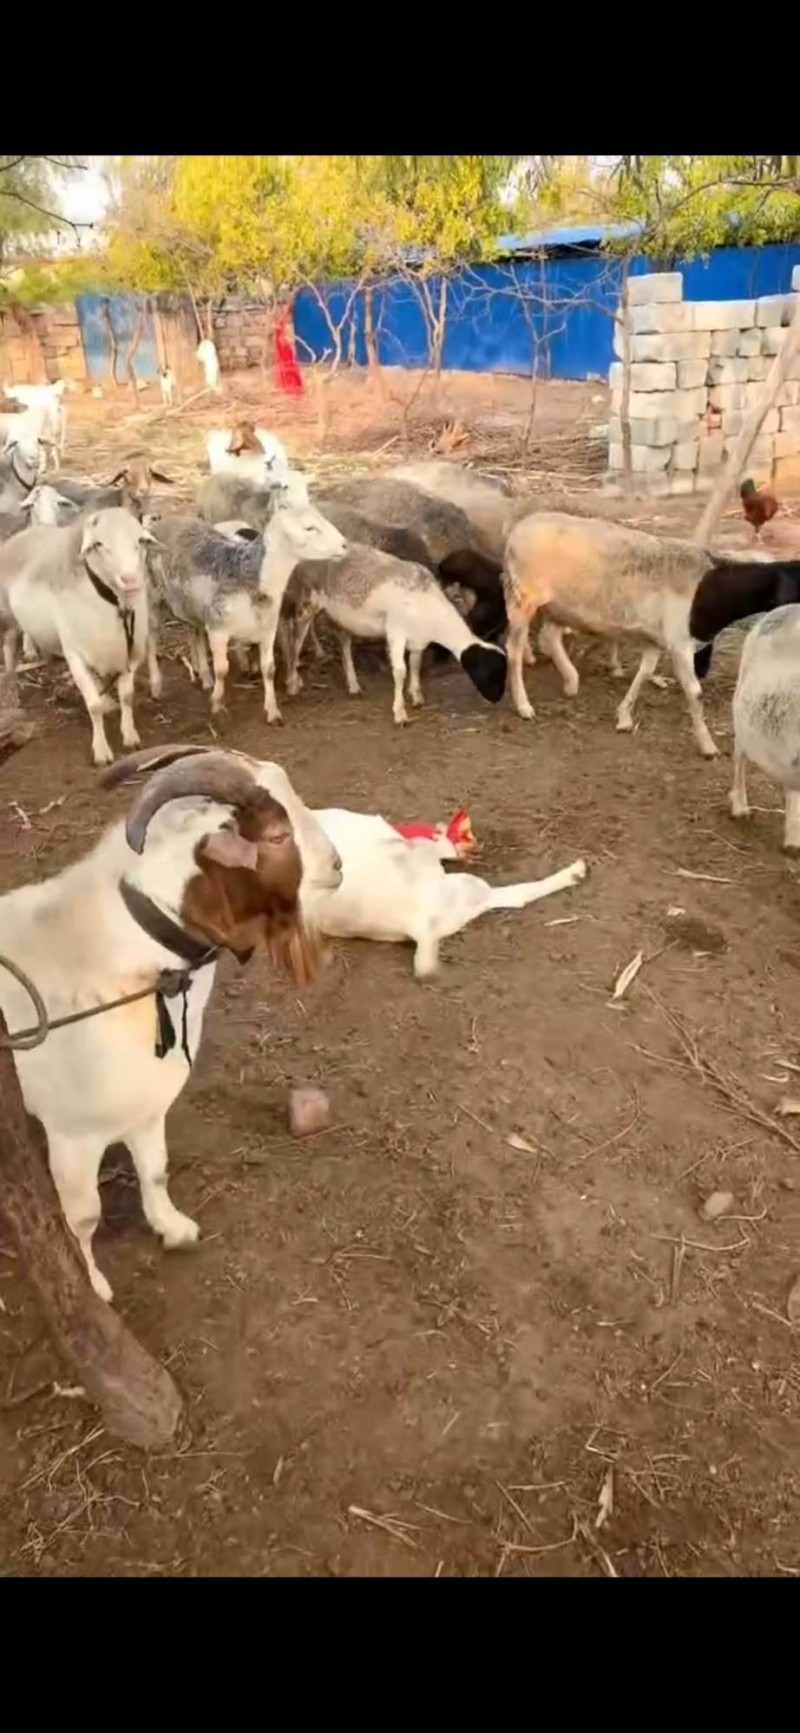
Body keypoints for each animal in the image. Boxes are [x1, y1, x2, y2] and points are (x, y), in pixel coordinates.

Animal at [0, 507, 157, 764]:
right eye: (99, 544)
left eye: (140, 541)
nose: (131, 580)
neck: (116, 604)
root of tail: (23, 534)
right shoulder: (76, 656)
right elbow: (93, 706)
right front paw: (101, 751)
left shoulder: (128, 654)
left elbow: (127, 696)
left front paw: (130, 735)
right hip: (9, 617)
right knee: (9, 649)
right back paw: (12, 691)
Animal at [0, 741, 341, 1300]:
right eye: (276, 835)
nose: (337, 865)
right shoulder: (71, 1134)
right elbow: (83, 1219)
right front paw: (95, 1286)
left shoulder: (148, 1104)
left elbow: (155, 1170)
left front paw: (173, 1228)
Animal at [150, 493, 347, 721]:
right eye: (309, 528)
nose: (345, 545)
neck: (254, 577)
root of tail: (165, 520)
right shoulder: (218, 628)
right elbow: (222, 669)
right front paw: (217, 704)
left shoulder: (268, 629)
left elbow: (269, 669)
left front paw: (272, 711)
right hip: (151, 597)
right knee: (150, 639)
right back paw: (156, 686)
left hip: (192, 606)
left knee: (193, 632)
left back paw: (204, 675)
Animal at [285, 542, 507, 724]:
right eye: (491, 673)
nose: (496, 699)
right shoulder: (395, 633)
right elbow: (400, 671)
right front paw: (400, 713)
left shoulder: (417, 640)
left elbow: (415, 665)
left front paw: (417, 697)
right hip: (307, 601)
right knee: (296, 641)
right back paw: (293, 682)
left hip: (341, 615)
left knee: (344, 644)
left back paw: (353, 685)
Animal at [503, 511, 722, 756]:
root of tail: (519, 529)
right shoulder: (679, 640)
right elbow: (694, 692)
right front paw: (708, 745)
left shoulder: (657, 639)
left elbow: (645, 671)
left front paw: (624, 714)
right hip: (524, 598)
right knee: (515, 651)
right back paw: (524, 705)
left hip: (558, 605)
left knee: (547, 637)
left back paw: (571, 681)